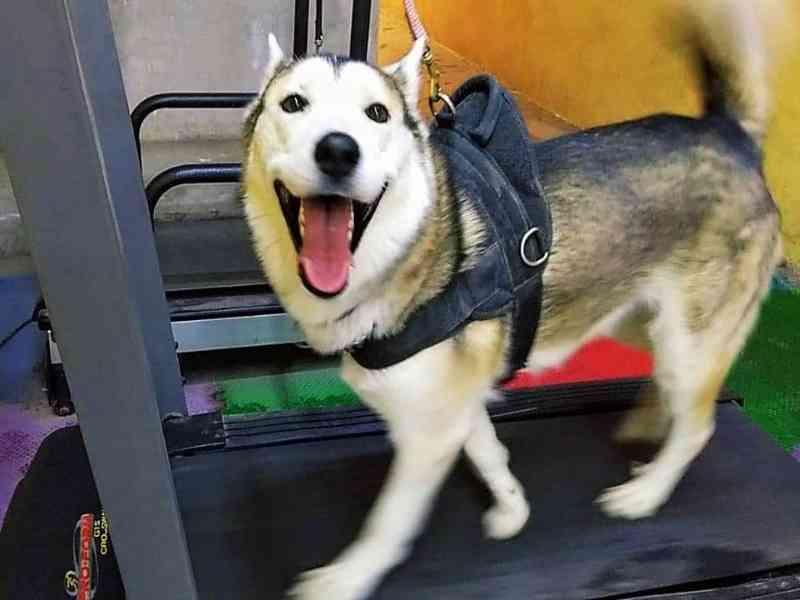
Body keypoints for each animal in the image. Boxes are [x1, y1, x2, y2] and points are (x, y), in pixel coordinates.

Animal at [241, 1, 788, 597]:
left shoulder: (426, 432)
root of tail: (729, 134)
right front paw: (511, 508)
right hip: (638, 321)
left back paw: (647, 491)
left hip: (686, 342)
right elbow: (487, 449)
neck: (417, 247)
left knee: (699, 424)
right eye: (294, 103)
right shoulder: (455, 403)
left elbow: (389, 522)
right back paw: (649, 424)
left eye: (377, 114)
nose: (338, 150)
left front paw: (349, 577)